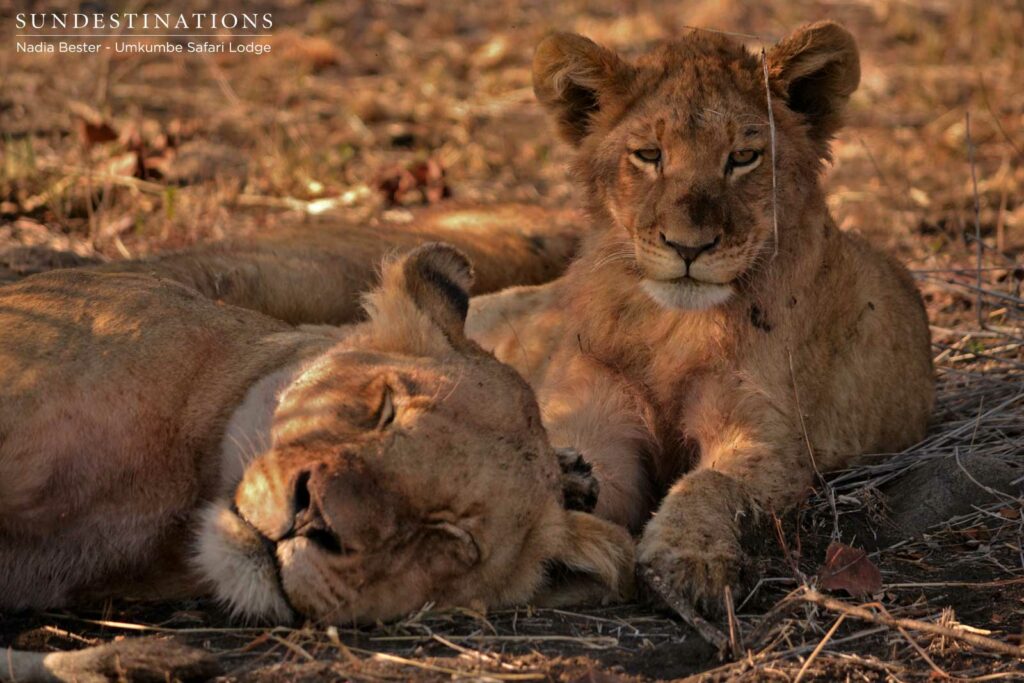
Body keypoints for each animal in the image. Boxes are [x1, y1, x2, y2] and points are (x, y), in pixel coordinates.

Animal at [466, 22, 934, 614]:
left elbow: (711, 485)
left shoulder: (768, 434)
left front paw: (688, 560)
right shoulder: (594, 415)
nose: (689, 246)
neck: (671, 329)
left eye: (744, 157)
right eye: (648, 154)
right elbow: (580, 467)